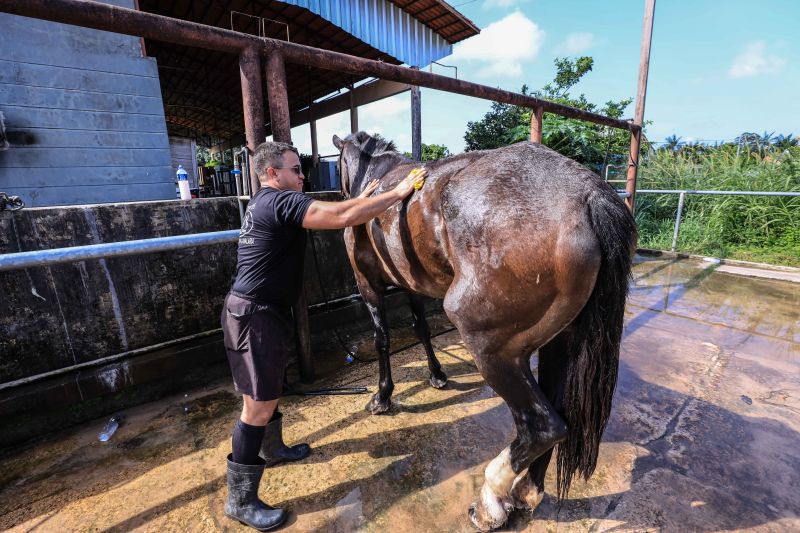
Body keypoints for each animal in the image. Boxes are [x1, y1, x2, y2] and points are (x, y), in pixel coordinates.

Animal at [332, 131, 636, 528]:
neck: (377, 177)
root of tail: (588, 193)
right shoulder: (412, 286)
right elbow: (421, 328)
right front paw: (437, 375)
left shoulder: (367, 284)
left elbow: (382, 339)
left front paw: (382, 396)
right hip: (561, 342)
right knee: (559, 415)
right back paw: (526, 492)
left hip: (491, 349)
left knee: (543, 426)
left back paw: (491, 501)